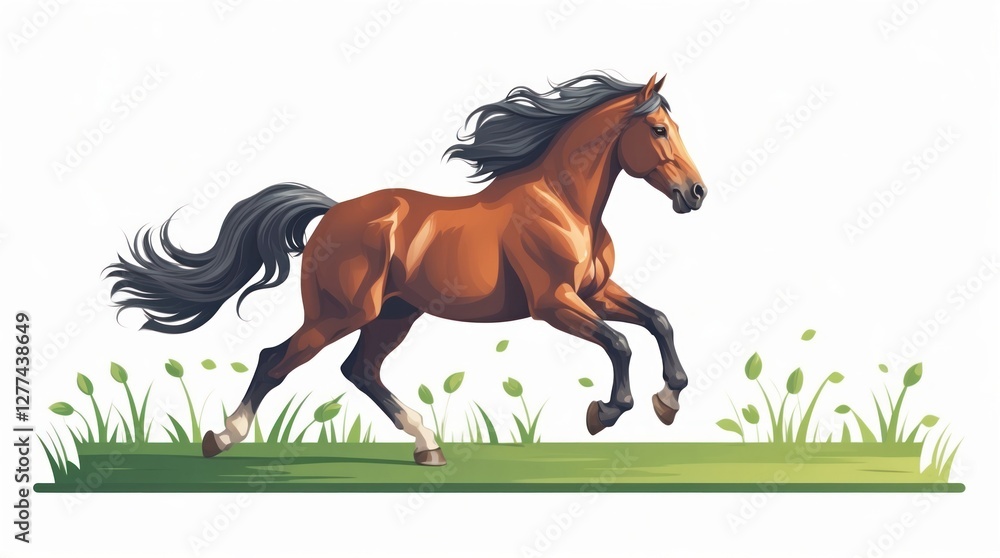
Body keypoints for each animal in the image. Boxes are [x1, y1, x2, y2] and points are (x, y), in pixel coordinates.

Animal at [107, 72, 706, 466]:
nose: (696, 193)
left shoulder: (597, 291)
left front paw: (669, 400)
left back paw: (428, 445)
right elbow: (620, 343)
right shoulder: (554, 302)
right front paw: (605, 412)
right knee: (276, 359)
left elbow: (658, 320)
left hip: (394, 315)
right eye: (658, 129)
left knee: (360, 370)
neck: (562, 204)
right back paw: (222, 438)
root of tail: (331, 213)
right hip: (340, 314)